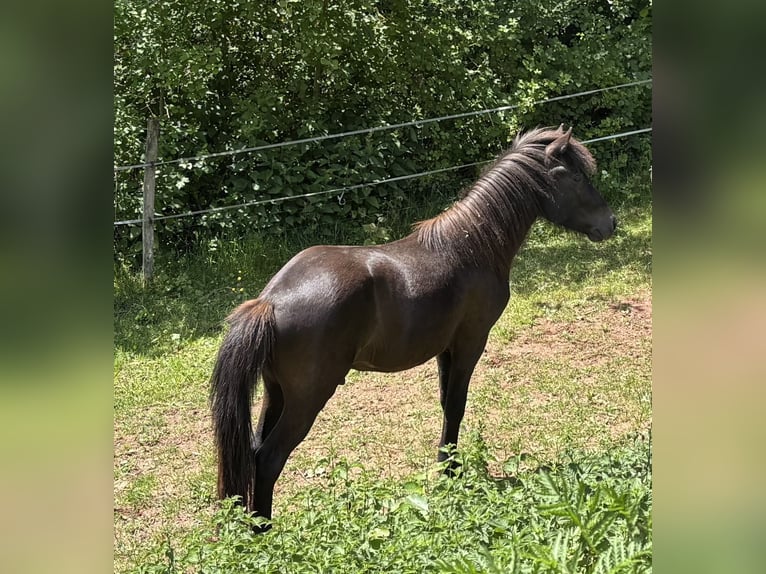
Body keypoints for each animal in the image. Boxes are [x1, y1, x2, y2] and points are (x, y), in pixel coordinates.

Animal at [210, 126, 616, 524]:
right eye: (577, 176)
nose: (611, 223)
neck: (472, 246)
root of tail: (270, 301)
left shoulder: (445, 349)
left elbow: (446, 403)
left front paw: (447, 469)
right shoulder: (471, 341)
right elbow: (456, 406)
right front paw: (451, 474)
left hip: (276, 392)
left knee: (254, 450)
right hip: (307, 399)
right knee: (268, 459)